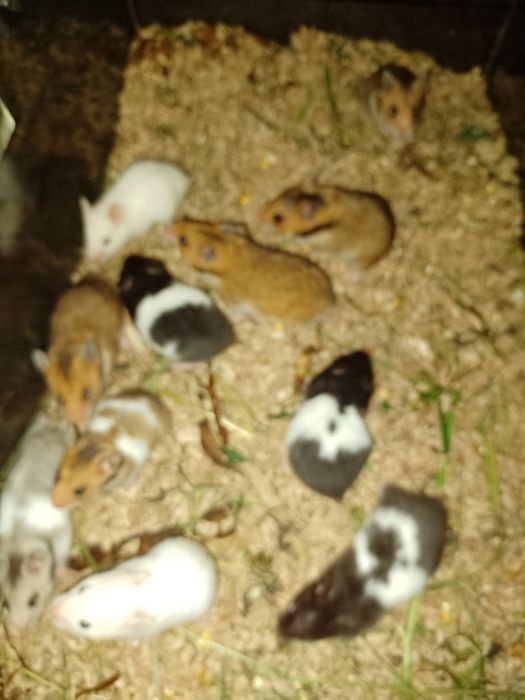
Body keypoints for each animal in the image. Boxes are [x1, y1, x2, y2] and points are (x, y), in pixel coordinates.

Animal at [0, 414, 72, 627]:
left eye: (33, 601)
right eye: (6, 603)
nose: (19, 627)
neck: (18, 539)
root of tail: (50, 430)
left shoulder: (61, 533)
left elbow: (61, 557)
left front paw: (64, 576)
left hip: (65, 443)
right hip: (30, 436)